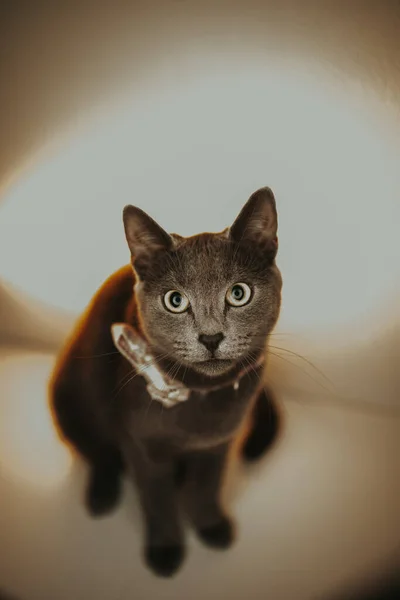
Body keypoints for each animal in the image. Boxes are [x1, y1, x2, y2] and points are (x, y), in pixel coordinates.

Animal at [49, 186, 282, 576]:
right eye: (175, 301)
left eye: (239, 293)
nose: (211, 337)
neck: (201, 397)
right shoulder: (140, 445)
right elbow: (156, 499)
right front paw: (165, 551)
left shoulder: (220, 443)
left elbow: (207, 487)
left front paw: (211, 526)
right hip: (69, 394)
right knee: (97, 452)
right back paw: (102, 495)